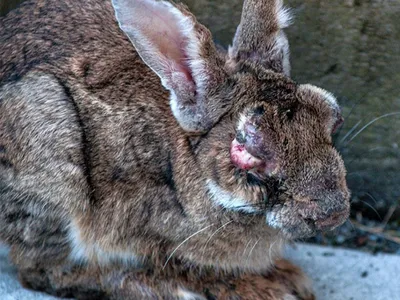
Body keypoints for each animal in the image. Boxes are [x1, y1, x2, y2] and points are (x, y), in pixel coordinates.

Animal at [0, 0, 350, 298]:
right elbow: (188, 266)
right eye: (246, 152)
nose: (333, 213)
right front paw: (267, 287)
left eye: (333, 118)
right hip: (52, 165)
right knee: (43, 270)